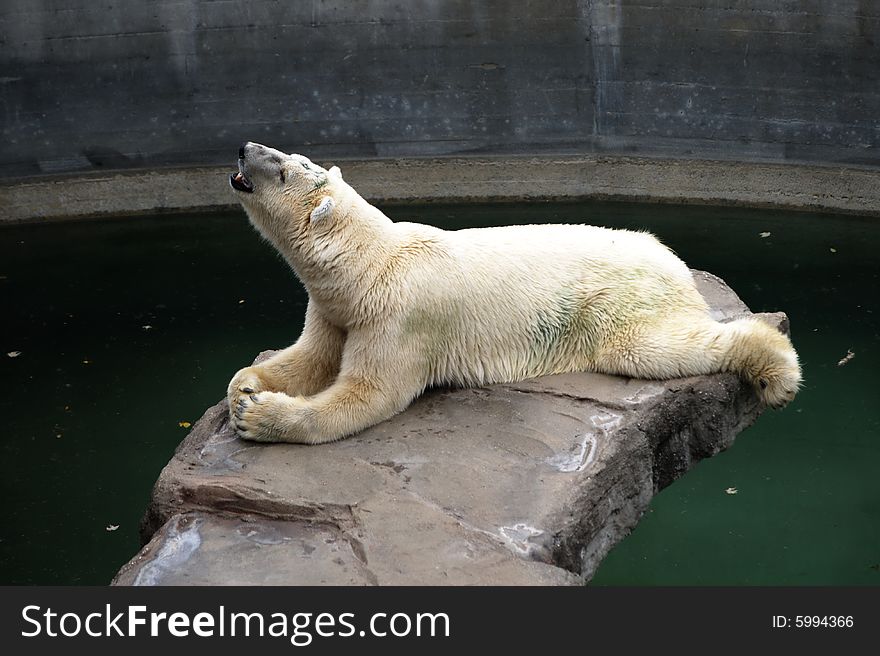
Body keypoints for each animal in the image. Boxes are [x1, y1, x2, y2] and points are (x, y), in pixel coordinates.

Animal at [225, 141, 796, 444]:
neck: (370, 265)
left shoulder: (399, 315)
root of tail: (668, 255)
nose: (245, 148)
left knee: (658, 348)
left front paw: (260, 415)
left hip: (615, 305)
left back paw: (776, 371)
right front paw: (245, 386)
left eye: (282, 166)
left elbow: (368, 393)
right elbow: (309, 357)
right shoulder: (335, 308)